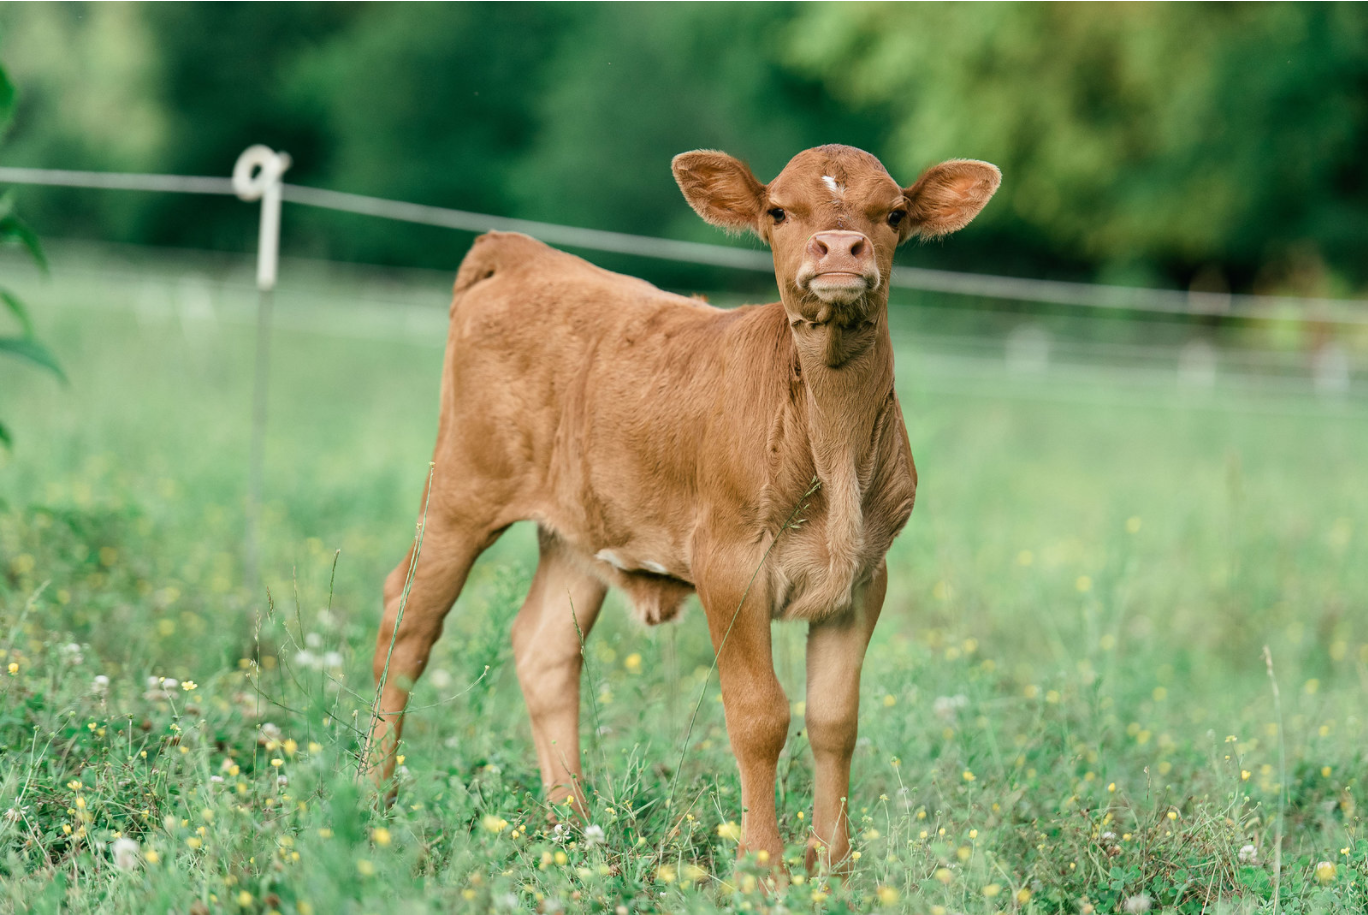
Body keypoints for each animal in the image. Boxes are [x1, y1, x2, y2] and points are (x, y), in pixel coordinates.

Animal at [365, 144, 1000, 868]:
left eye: (893, 213)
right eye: (778, 211)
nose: (840, 247)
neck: (832, 444)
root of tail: (524, 251)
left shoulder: (865, 577)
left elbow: (835, 718)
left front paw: (833, 869)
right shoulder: (729, 565)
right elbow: (759, 714)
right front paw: (763, 868)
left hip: (577, 531)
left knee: (545, 647)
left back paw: (572, 826)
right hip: (459, 492)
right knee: (407, 624)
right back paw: (372, 797)